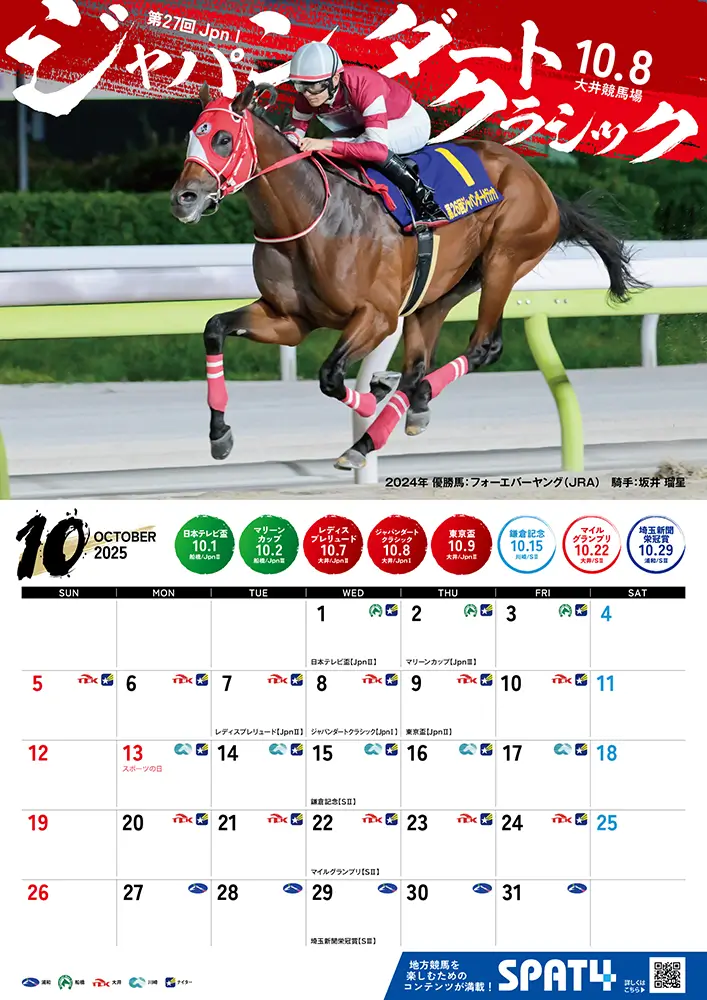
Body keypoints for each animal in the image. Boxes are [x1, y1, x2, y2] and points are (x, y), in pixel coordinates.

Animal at [170, 80, 648, 470]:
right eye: (192, 136)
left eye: (223, 138)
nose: (183, 198)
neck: (309, 217)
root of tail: (538, 181)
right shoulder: (288, 319)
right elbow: (214, 328)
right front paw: (219, 434)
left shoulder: (377, 317)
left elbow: (330, 375)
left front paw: (371, 396)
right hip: (444, 286)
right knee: (420, 361)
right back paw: (385, 423)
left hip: (504, 260)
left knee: (483, 347)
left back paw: (397, 407)